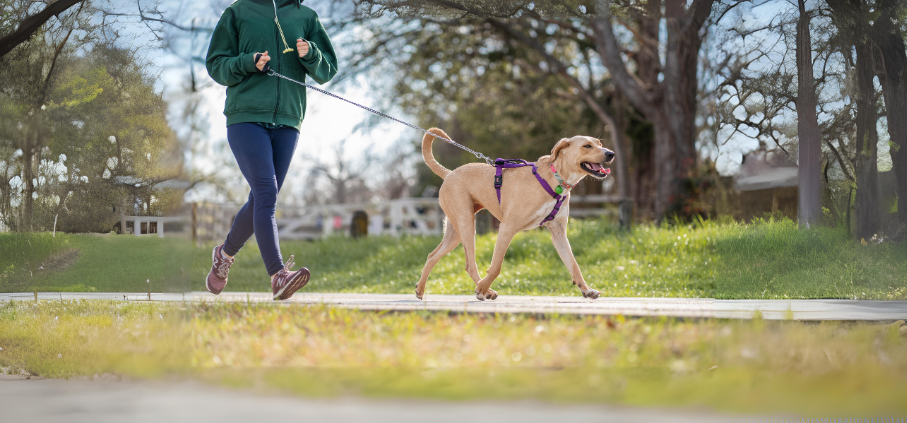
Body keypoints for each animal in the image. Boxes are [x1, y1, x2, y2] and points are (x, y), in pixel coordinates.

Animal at [416, 128, 616, 302]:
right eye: (587, 146)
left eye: (599, 143)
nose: (611, 154)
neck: (556, 179)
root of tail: (449, 173)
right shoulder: (507, 227)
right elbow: (496, 267)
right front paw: (481, 289)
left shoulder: (558, 233)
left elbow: (574, 265)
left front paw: (587, 290)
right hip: (466, 224)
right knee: (469, 264)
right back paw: (485, 290)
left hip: (455, 232)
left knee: (432, 256)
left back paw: (420, 289)